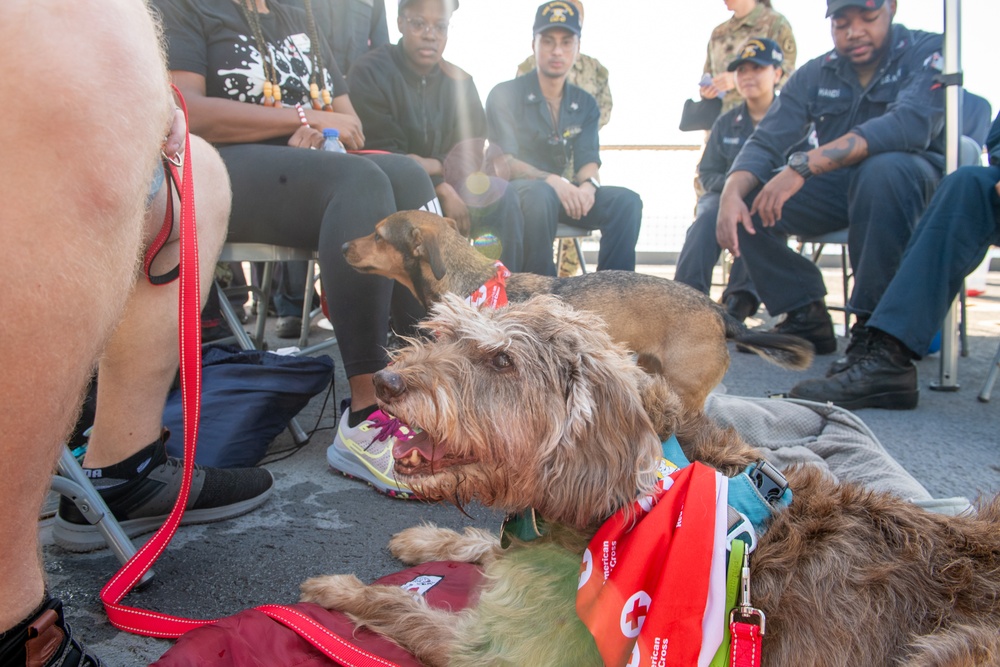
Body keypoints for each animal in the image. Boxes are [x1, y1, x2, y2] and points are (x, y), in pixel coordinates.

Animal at [300, 298, 1000, 667]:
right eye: (443, 332)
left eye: (501, 361)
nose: (386, 383)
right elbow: (478, 546)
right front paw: (424, 540)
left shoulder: (504, 650)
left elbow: (403, 609)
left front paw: (340, 589)